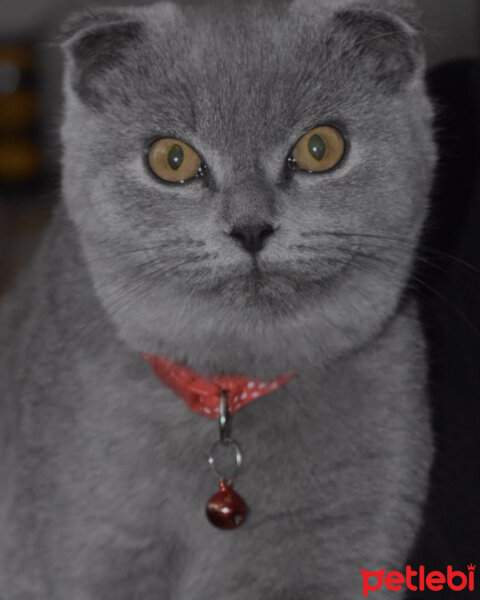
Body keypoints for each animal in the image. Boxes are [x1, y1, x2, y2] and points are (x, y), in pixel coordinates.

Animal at [0, 0, 436, 596]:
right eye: (172, 159)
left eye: (320, 148)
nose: (251, 227)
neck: (229, 389)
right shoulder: (96, 546)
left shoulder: (346, 542)